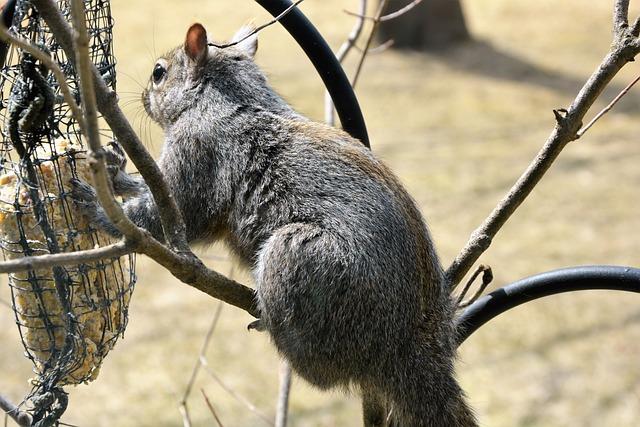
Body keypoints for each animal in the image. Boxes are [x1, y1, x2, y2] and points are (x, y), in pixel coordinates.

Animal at [74, 24, 476, 427]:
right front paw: (114, 176)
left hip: (301, 259)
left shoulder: (198, 150)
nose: (142, 97)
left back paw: (276, 330)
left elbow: (175, 212)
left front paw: (100, 209)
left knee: (322, 372)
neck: (225, 98)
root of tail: (409, 345)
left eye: (159, 72)